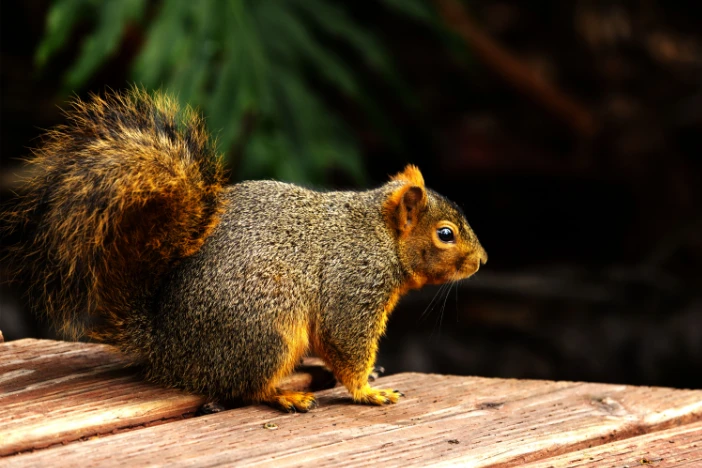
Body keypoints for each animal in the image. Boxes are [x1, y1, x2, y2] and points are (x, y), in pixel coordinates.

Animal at [4, 88, 490, 414]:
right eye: (446, 234)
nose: (482, 261)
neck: (381, 237)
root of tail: (165, 345)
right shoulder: (353, 286)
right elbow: (345, 340)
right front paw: (368, 391)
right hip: (268, 327)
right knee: (244, 388)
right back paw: (287, 395)